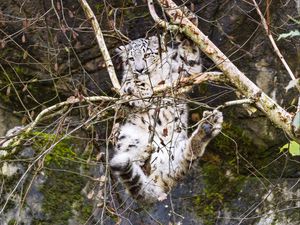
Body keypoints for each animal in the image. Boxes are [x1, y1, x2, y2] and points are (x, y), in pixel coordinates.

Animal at [110, 34, 223, 202]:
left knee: (187, 157)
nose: (139, 69)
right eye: (131, 58)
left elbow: (189, 61)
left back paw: (208, 127)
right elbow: (129, 84)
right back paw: (143, 152)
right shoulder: (125, 89)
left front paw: (187, 33)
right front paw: (140, 89)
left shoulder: (183, 73)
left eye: (147, 54)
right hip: (126, 137)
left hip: (175, 149)